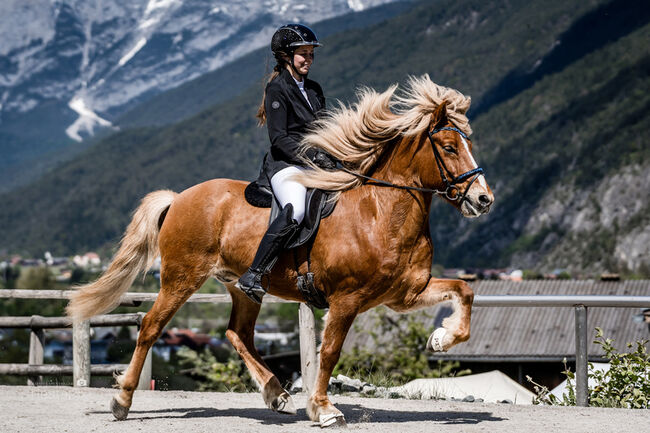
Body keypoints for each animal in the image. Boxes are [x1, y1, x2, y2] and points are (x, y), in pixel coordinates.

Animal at [66, 74, 492, 426]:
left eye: (469, 143)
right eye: (449, 147)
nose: (483, 200)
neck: (381, 212)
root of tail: (179, 198)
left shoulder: (405, 293)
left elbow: (465, 291)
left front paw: (440, 339)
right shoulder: (347, 299)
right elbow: (329, 351)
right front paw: (324, 409)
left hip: (240, 286)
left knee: (238, 333)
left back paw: (275, 392)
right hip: (180, 278)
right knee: (151, 327)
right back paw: (122, 401)